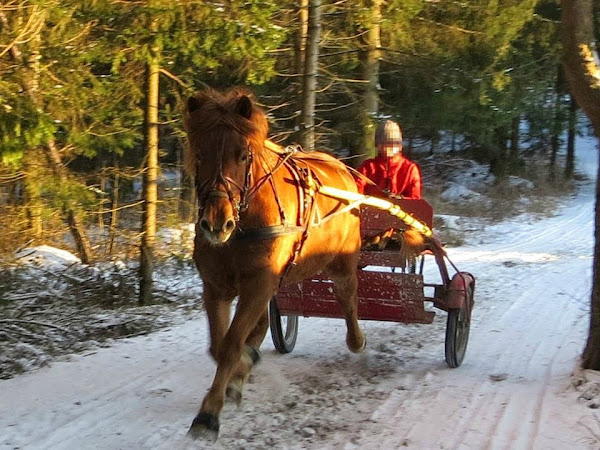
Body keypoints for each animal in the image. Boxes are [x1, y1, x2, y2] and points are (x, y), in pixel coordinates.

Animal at [183, 87, 366, 440]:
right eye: (199, 155)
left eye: (242, 155)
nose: (216, 223)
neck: (243, 225)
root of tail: (340, 167)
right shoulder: (216, 286)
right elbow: (219, 345)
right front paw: (237, 375)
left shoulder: (258, 283)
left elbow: (230, 344)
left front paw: (208, 414)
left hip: (342, 261)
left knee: (348, 295)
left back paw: (356, 339)